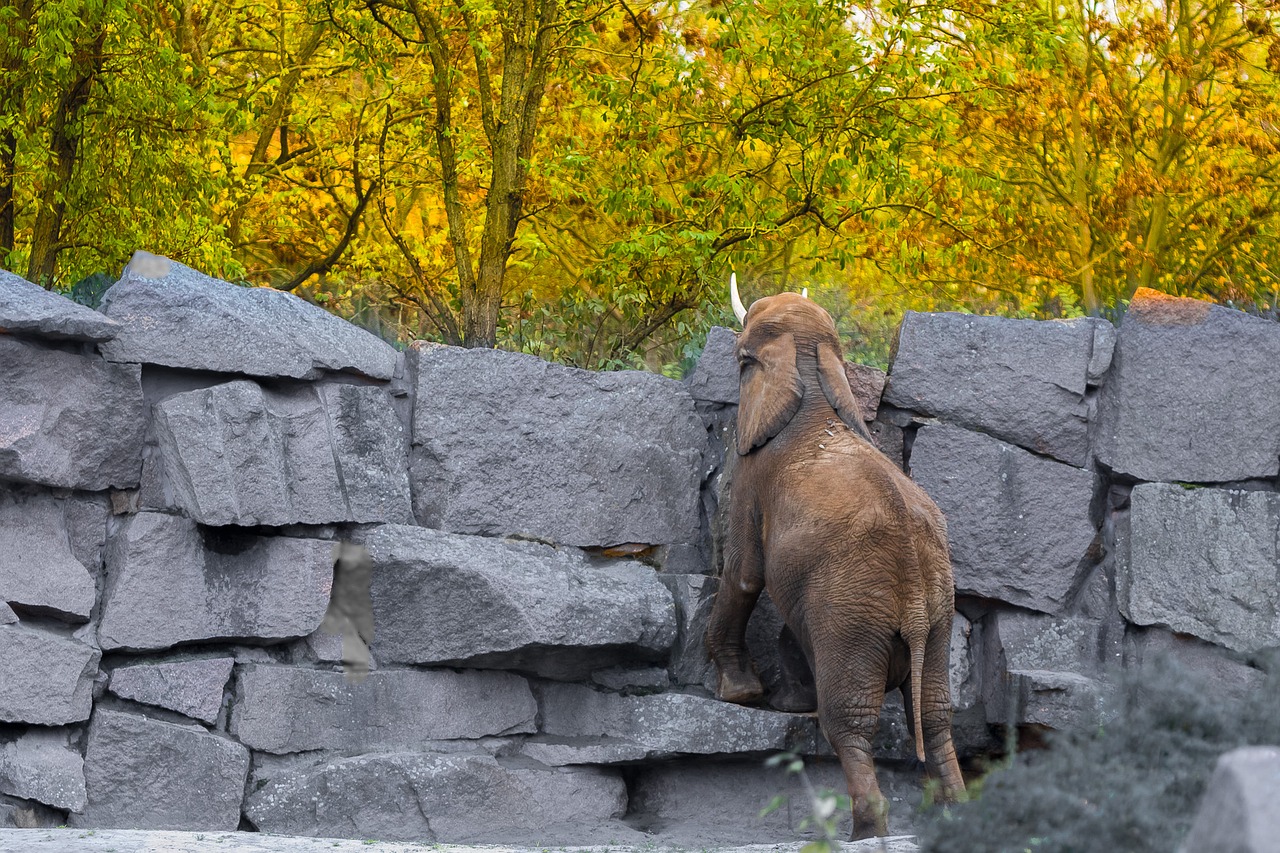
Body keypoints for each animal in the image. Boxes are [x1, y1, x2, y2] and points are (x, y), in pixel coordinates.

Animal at [706, 275, 962, 835]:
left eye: (742, 361)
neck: (812, 377)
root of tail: (914, 603)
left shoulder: (753, 475)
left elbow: (744, 575)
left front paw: (740, 694)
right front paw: (780, 702)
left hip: (854, 615)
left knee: (849, 720)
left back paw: (867, 829)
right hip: (937, 614)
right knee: (934, 714)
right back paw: (959, 812)